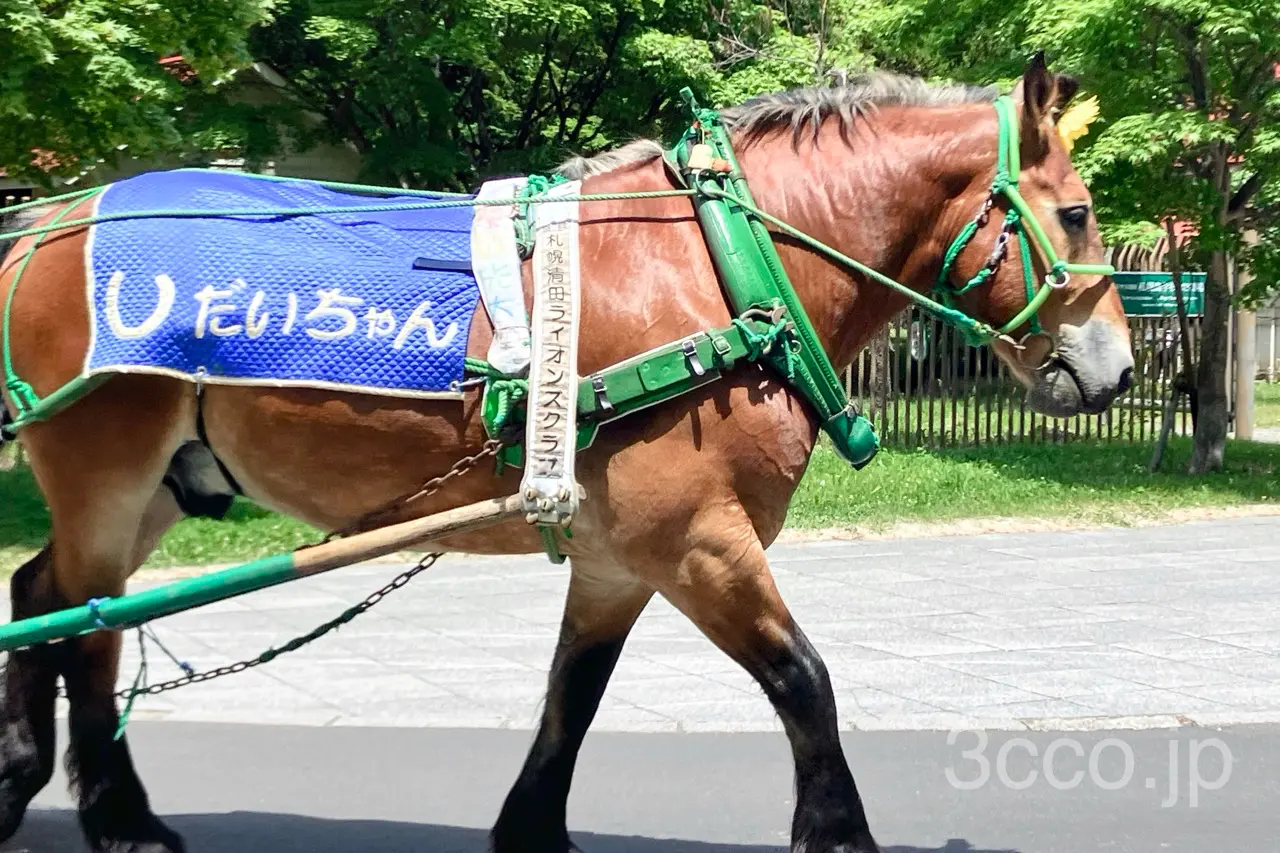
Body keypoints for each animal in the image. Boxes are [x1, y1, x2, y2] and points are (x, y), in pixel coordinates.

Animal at [0, 55, 1133, 853]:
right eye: (1075, 212)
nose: (1117, 367)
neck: (718, 266)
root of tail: (51, 220)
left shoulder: (617, 555)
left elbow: (572, 693)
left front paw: (531, 827)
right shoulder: (696, 540)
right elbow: (802, 679)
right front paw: (840, 833)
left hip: (155, 484)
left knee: (46, 594)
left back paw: (28, 770)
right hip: (106, 469)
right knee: (85, 628)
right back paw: (118, 815)